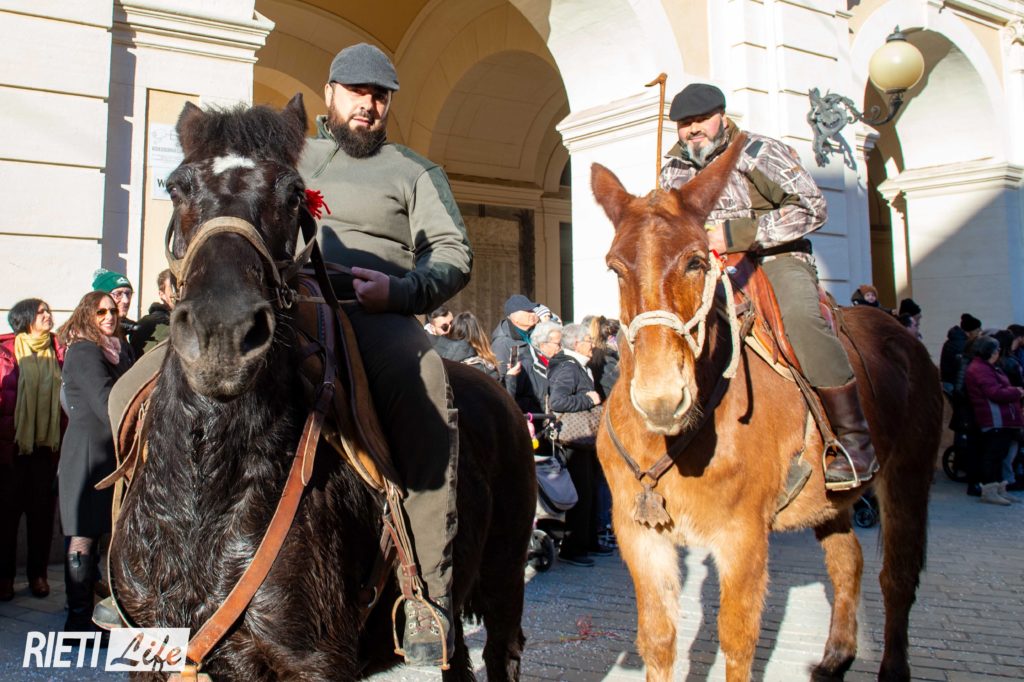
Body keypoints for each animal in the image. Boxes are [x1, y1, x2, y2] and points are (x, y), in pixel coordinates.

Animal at [107, 94, 535, 681]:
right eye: (177, 186)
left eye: (293, 193)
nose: (223, 332)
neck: (209, 486)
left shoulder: (313, 662)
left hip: (505, 581)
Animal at [590, 136, 941, 682]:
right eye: (615, 266)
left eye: (696, 260)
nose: (660, 396)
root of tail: (902, 335)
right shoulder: (638, 535)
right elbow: (659, 640)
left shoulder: (743, 538)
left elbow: (737, 641)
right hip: (832, 501)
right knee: (848, 562)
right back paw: (837, 655)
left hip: (907, 476)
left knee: (897, 576)